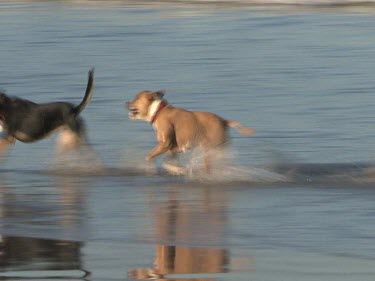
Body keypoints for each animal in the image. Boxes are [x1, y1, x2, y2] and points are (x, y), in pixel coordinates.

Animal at [126, 90, 256, 173]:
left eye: (136, 98)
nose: (126, 102)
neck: (158, 111)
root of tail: (224, 121)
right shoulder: (172, 149)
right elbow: (169, 162)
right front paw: (177, 169)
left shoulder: (165, 144)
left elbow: (150, 157)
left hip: (210, 148)